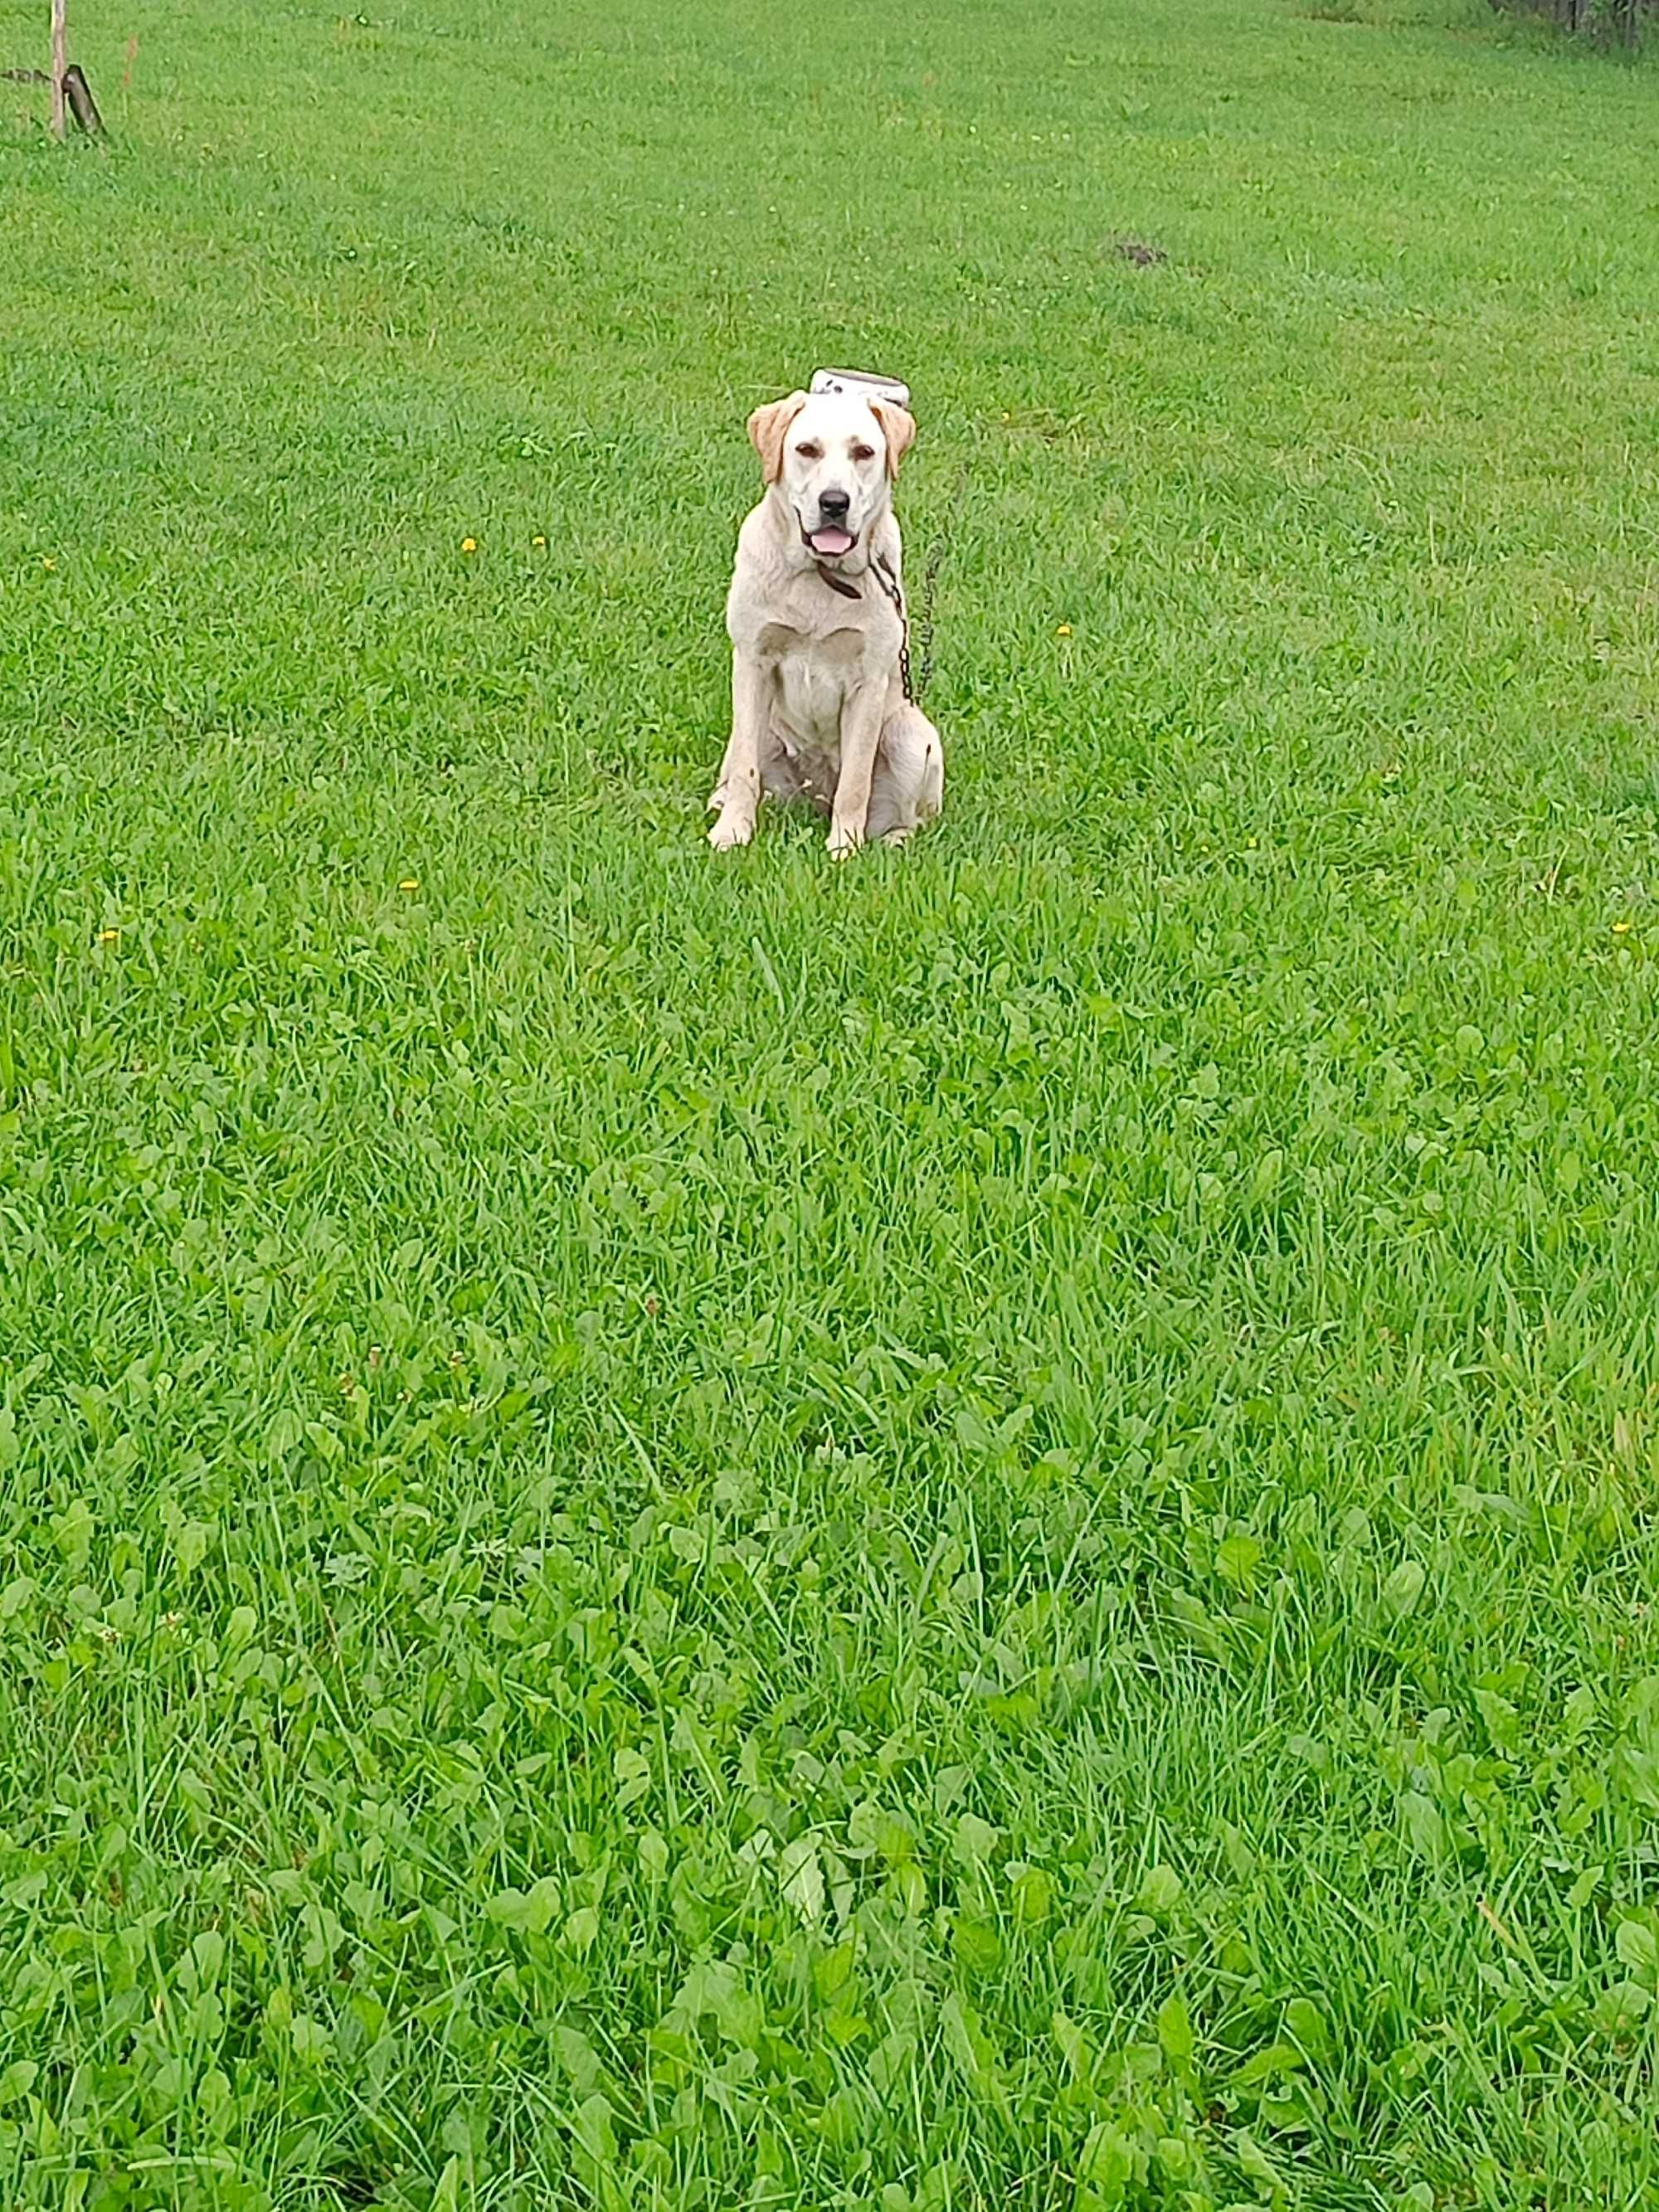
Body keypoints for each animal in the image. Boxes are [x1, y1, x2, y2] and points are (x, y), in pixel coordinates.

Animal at [708, 389, 946, 853]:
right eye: (807, 450)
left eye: (863, 452)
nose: (834, 502)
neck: (821, 577)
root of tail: (815, 795)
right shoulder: (752, 661)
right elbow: (745, 769)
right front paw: (732, 833)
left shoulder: (868, 682)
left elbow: (854, 782)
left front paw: (844, 848)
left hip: (912, 734)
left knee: (914, 817)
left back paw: (892, 840)